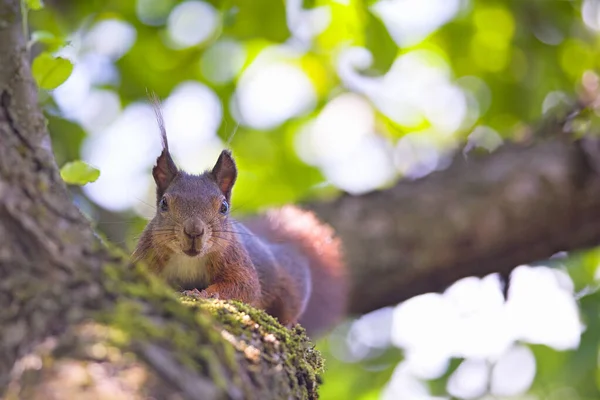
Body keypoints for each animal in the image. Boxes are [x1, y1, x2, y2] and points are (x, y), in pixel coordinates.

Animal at [131, 97, 346, 338]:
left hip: (292, 281)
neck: (189, 259)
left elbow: (244, 286)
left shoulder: (235, 260)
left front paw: (205, 293)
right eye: (164, 203)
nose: (194, 231)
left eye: (223, 207)